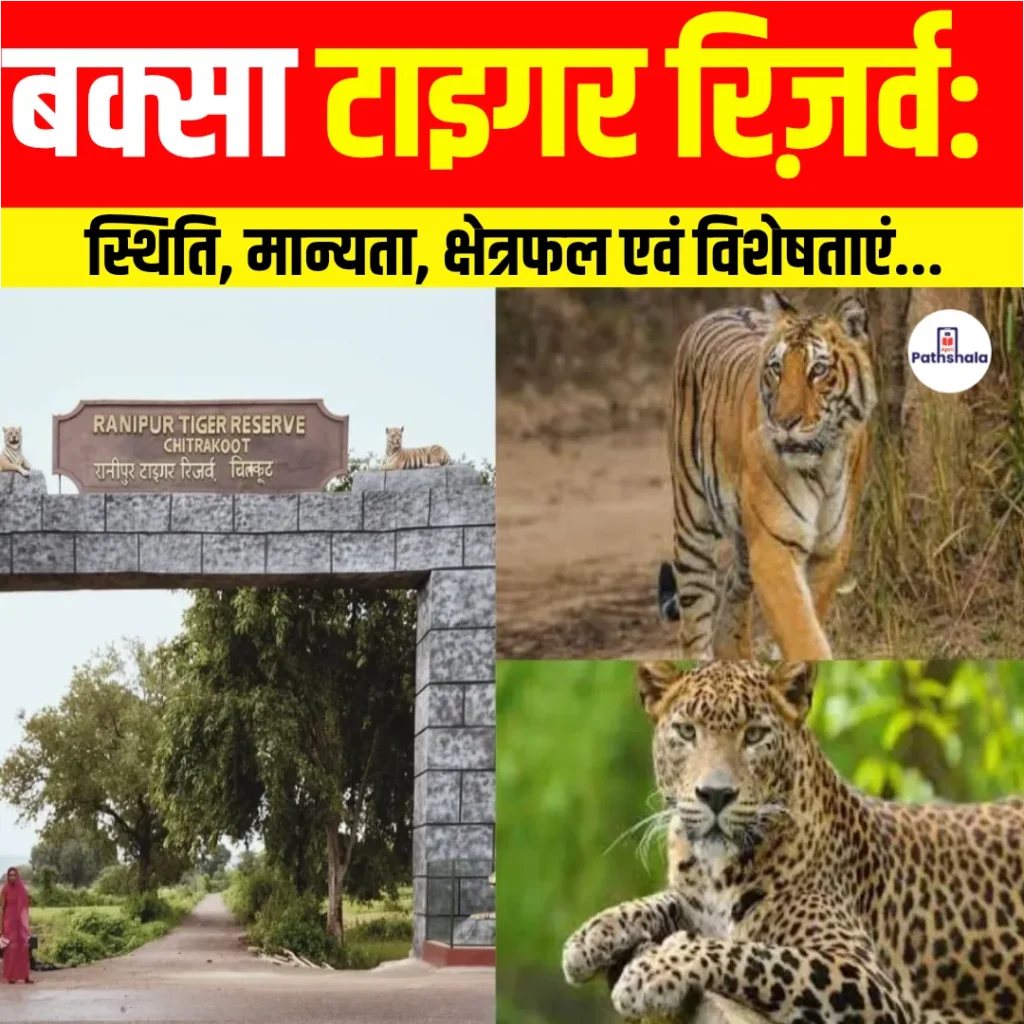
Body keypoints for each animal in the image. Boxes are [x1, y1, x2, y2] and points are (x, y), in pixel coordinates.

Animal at [658, 291, 877, 661]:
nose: (784, 422)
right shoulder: (774, 547)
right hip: (692, 524)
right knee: (694, 624)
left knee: (733, 589)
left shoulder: (831, 549)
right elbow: (800, 628)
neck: (821, 466)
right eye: (777, 369)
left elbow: (807, 616)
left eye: (818, 370)